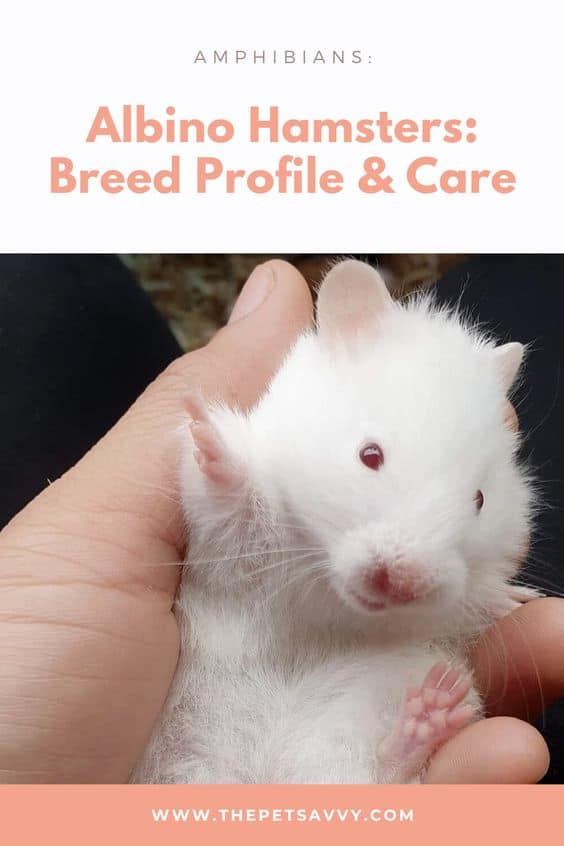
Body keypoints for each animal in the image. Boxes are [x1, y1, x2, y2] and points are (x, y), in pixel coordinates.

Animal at [132, 259, 534, 784]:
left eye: (481, 499)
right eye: (369, 455)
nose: (400, 584)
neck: (332, 597)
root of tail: (267, 777)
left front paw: (517, 599)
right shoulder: (227, 558)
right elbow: (235, 508)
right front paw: (208, 434)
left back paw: (431, 713)